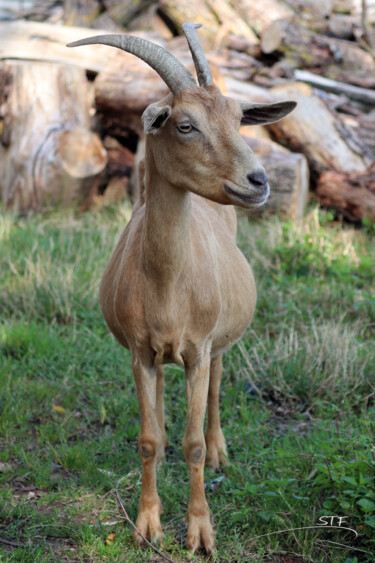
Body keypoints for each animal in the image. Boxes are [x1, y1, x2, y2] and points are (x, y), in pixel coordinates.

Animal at [67, 26, 296, 556]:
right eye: (186, 125)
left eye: (238, 117)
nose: (259, 181)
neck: (168, 285)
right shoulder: (139, 352)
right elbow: (147, 439)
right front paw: (147, 525)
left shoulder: (198, 348)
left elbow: (193, 442)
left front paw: (201, 533)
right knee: (161, 400)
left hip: (220, 343)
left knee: (216, 384)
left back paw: (219, 451)